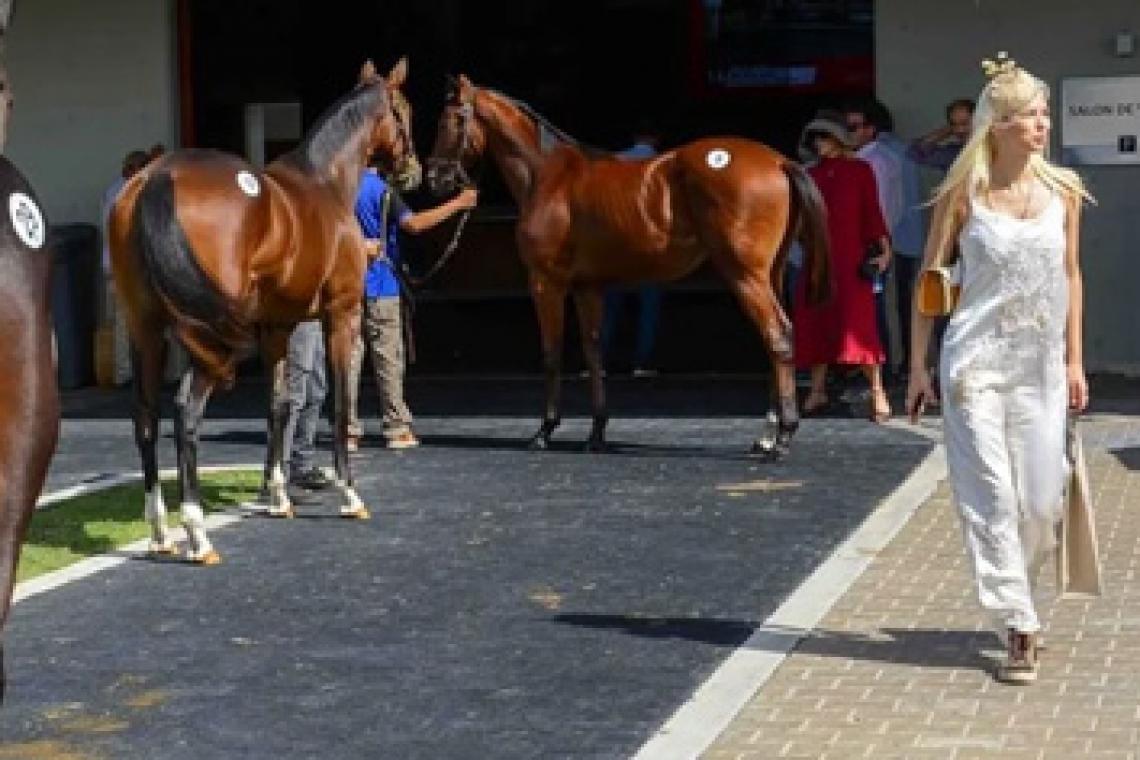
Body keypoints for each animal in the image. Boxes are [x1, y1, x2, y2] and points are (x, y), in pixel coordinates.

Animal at [108, 58, 418, 565]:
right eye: (403, 109)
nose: (413, 170)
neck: (325, 181)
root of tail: (156, 177)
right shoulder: (341, 314)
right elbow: (340, 401)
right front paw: (350, 495)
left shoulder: (278, 326)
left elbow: (280, 405)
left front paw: (277, 496)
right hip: (207, 337)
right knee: (185, 413)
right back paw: (197, 534)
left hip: (145, 328)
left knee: (146, 418)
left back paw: (160, 533)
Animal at [426, 75, 830, 457]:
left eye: (452, 119)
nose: (434, 178)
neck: (548, 177)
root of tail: (778, 161)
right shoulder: (587, 287)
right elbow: (593, 352)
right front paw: (596, 432)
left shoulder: (545, 282)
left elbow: (552, 353)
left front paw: (544, 430)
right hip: (770, 275)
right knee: (775, 341)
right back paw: (767, 437)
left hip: (746, 276)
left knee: (777, 335)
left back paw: (782, 437)